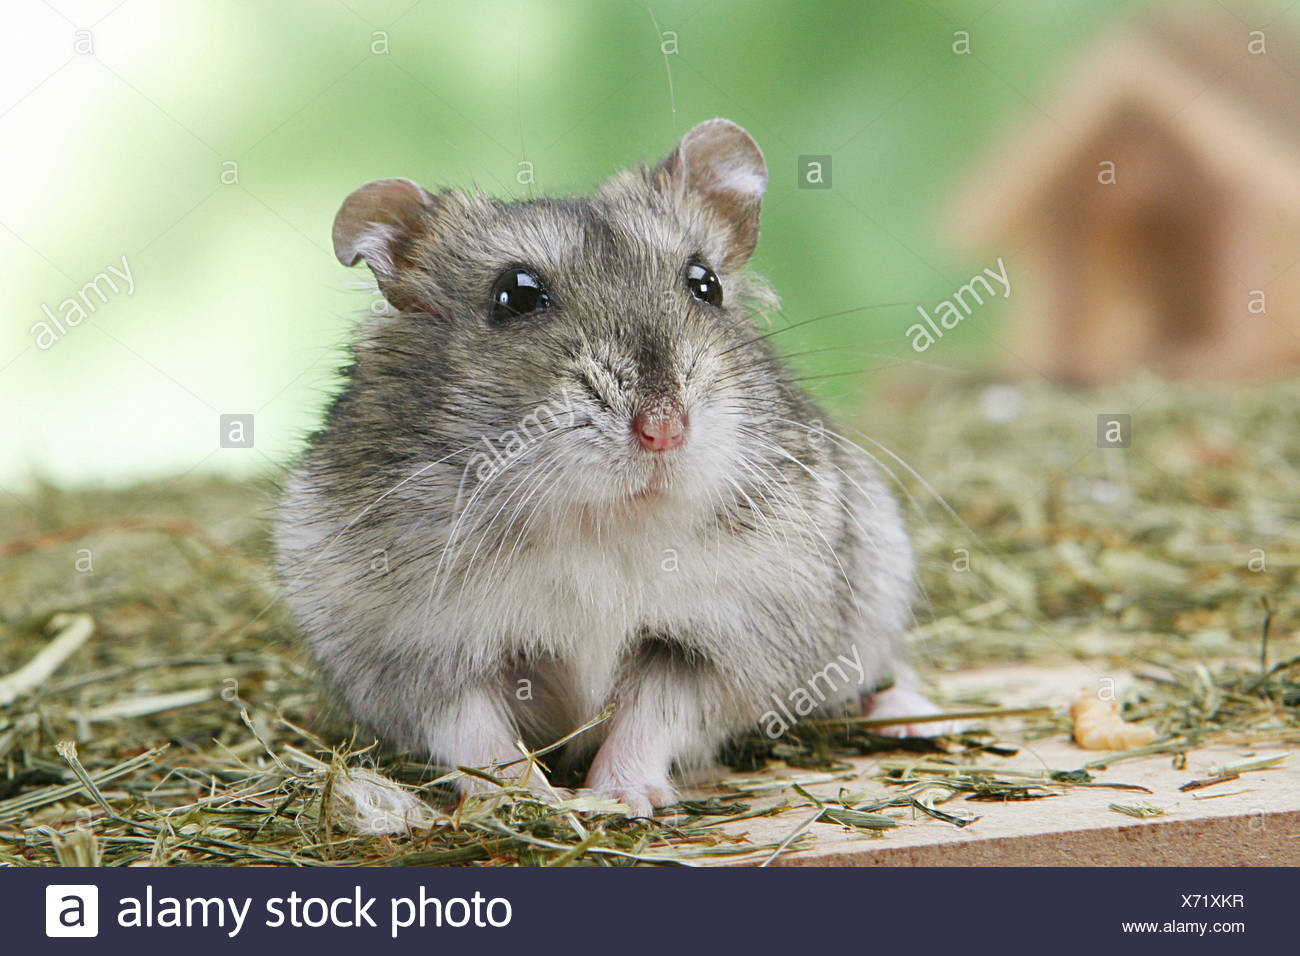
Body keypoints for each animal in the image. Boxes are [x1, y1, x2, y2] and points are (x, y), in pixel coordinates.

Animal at [275, 118, 945, 816]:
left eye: (705, 283)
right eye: (516, 296)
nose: (664, 430)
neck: (598, 518)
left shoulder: (717, 640)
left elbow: (654, 714)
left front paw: (622, 796)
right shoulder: (418, 657)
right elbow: (476, 733)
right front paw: (528, 800)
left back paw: (910, 716)